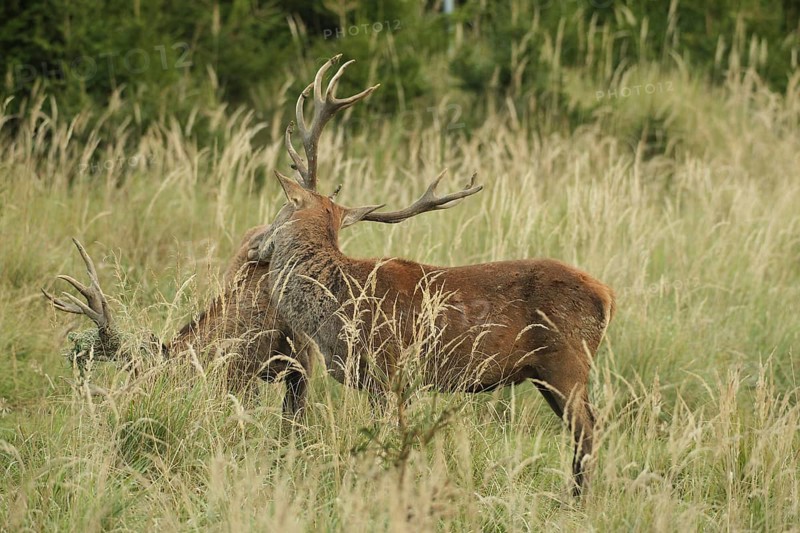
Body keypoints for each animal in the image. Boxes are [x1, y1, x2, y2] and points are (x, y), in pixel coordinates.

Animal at [246, 57, 616, 496]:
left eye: (279, 211)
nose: (254, 246)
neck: (337, 304)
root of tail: (608, 296)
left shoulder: (387, 370)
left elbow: (387, 436)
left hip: (567, 360)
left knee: (588, 428)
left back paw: (578, 500)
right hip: (546, 372)